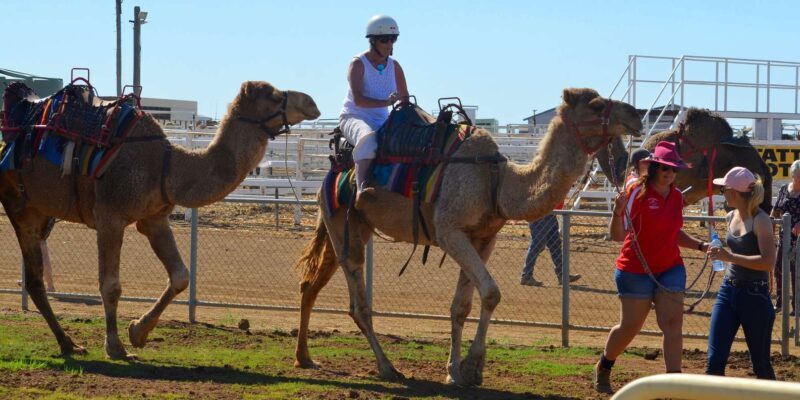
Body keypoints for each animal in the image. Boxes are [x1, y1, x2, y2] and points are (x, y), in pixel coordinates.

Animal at [0, 81, 320, 359]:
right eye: (275, 96)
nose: (312, 103)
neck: (167, 165)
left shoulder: (154, 220)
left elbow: (180, 276)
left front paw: (138, 332)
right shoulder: (110, 217)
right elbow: (110, 285)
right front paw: (116, 347)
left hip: (37, 210)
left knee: (34, 280)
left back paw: (69, 344)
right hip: (18, 205)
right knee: (36, 278)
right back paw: (69, 343)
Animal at [293, 88, 642, 386]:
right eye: (596, 104)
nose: (636, 114)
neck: (498, 181)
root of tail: (332, 170)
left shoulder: (483, 239)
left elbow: (463, 304)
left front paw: (457, 370)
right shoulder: (450, 232)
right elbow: (490, 292)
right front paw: (472, 367)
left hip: (349, 226)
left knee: (311, 284)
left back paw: (304, 358)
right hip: (343, 224)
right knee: (358, 304)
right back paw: (387, 367)